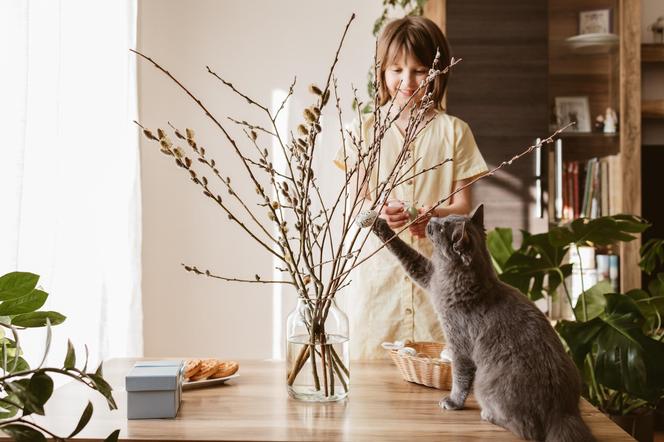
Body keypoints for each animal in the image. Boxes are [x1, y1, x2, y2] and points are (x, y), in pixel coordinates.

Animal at [370, 205, 592, 440]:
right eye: (444, 218)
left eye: (442, 227)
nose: (430, 220)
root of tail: (563, 412)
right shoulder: (430, 276)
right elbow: (409, 256)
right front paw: (379, 223)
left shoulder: (459, 344)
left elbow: (460, 377)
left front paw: (453, 402)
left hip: (485, 385)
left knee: (527, 429)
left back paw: (488, 415)